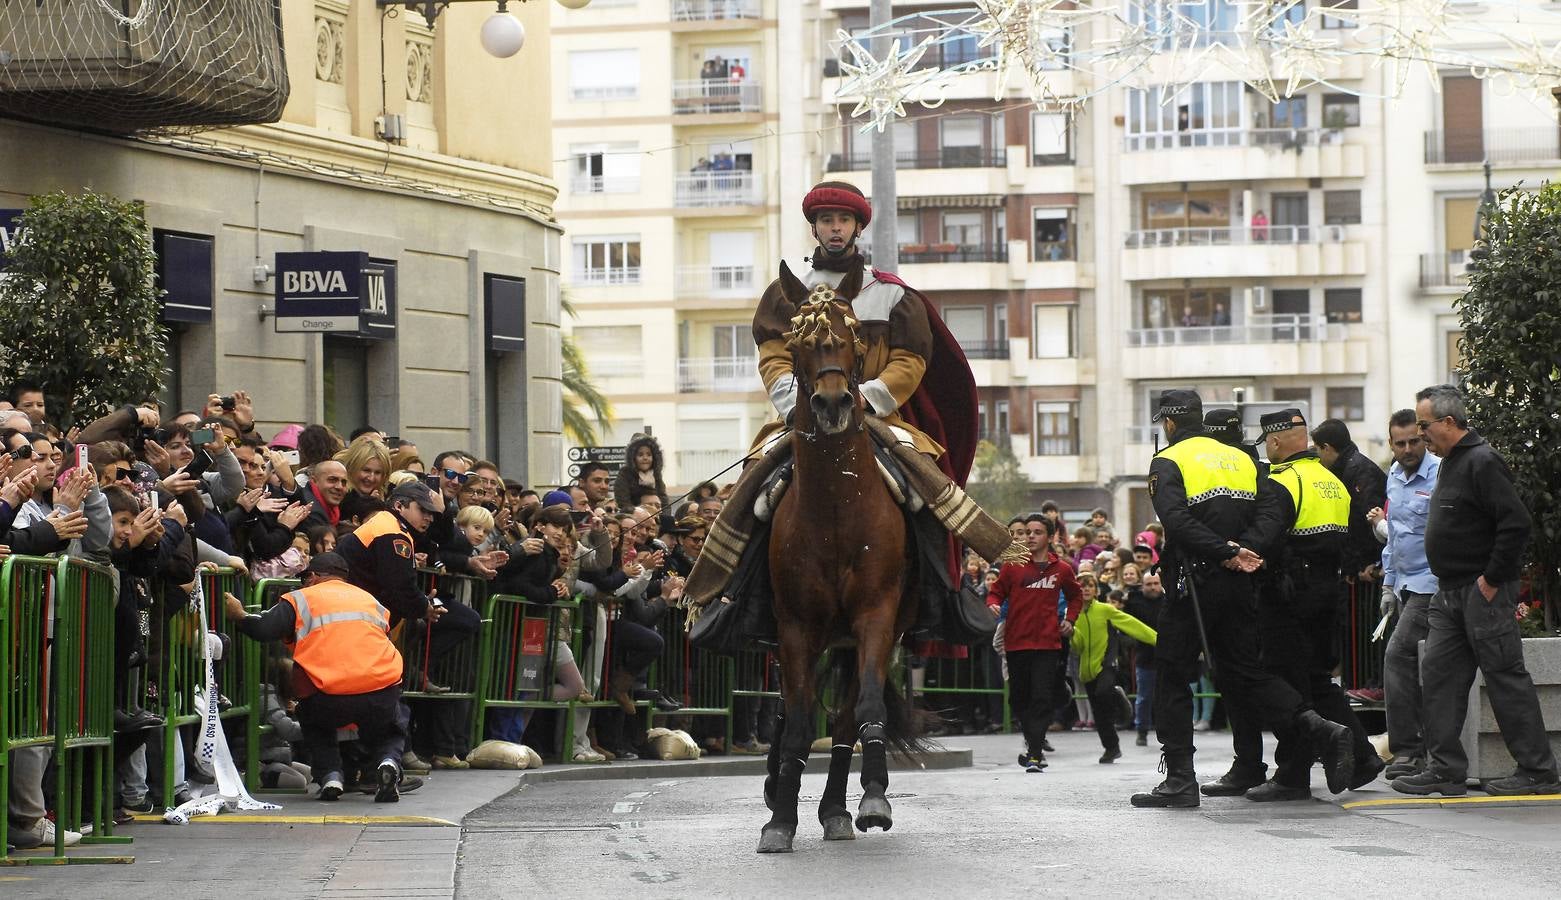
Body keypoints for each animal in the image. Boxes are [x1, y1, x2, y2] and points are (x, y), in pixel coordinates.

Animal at [758, 263, 924, 854]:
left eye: (854, 337)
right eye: (798, 341)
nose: (833, 405)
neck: (835, 508)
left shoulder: (877, 616)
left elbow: (864, 712)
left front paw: (872, 798)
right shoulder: (796, 627)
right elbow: (798, 723)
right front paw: (780, 819)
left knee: (850, 718)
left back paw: (838, 807)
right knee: (790, 712)